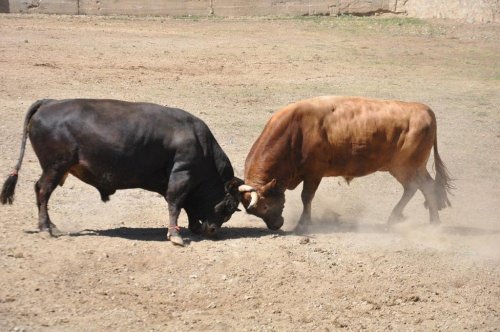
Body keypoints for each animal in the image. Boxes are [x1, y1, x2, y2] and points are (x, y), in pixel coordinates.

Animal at [0, 98, 242, 244]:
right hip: (55, 167)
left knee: (41, 191)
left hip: (56, 169)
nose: (213, 231)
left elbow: (187, 206)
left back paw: (51, 225)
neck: (201, 144)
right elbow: (176, 203)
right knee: (43, 191)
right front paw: (175, 235)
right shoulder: (181, 175)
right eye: (228, 206)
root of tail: (49, 103)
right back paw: (45, 228)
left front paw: (192, 227)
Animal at [238, 94, 454, 232]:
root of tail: (424, 109)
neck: (294, 131)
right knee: (425, 187)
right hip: (413, 167)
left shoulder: (314, 173)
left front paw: (303, 225)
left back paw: (404, 220)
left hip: (405, 166)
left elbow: (306, 197)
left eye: (265, 207)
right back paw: (430, 221)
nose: (276, 226)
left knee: (417, 187)